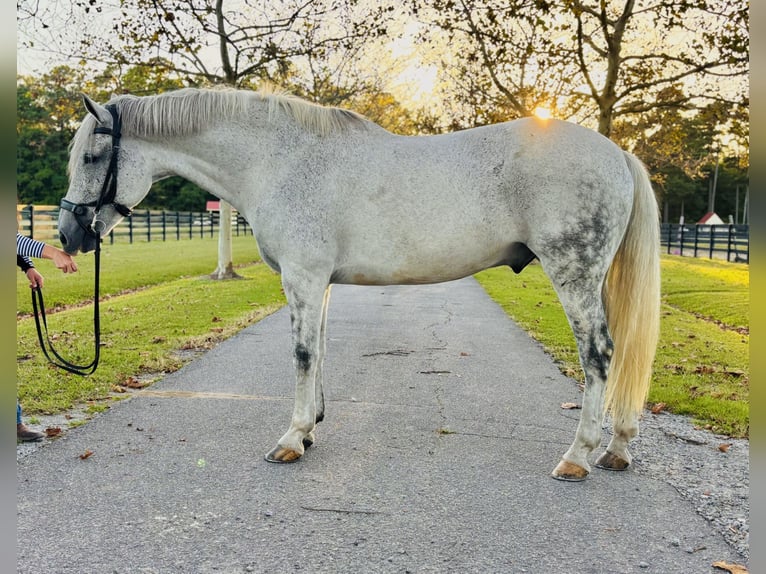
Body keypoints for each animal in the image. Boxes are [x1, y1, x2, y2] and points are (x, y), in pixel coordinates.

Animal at [57, 86, 660, 481]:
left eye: (91, 155)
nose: (68, 234)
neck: (280, 161)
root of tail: (617, 154)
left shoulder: (302, 277)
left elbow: (302, 355)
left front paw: (291, 440)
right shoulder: (319, 281)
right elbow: (320, 350)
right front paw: (310, 429)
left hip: (574, 273)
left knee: (600, 354)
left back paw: (578, 457)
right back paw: (618, 449)